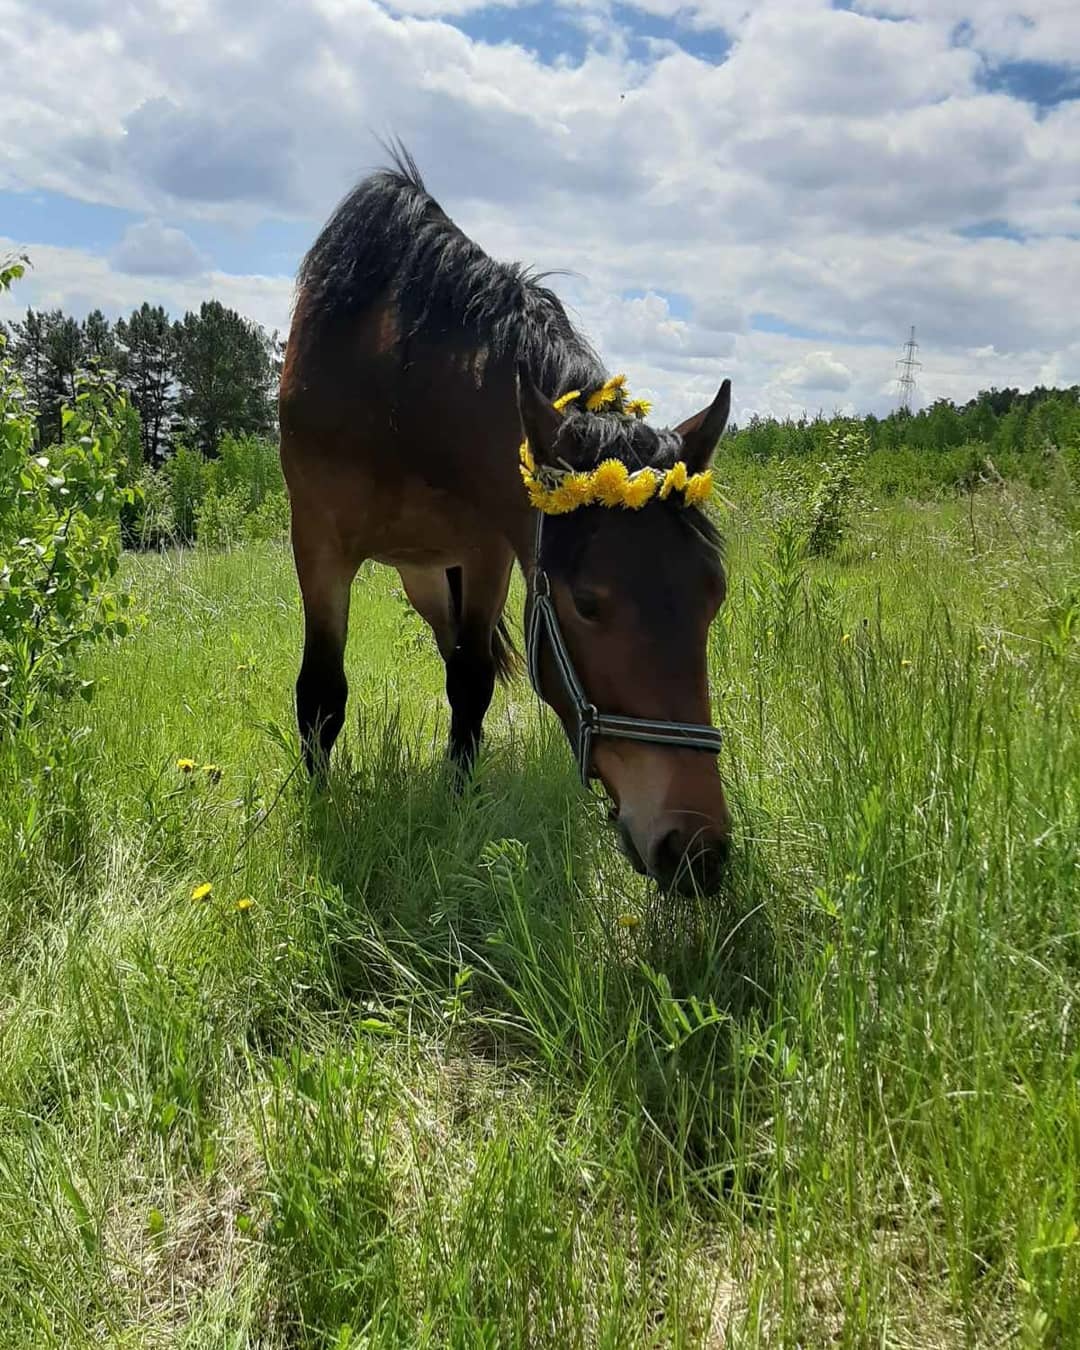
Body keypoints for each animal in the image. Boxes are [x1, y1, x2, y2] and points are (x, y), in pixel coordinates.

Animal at [278, 147, 734, 891]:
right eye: (587, 603)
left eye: (713, 596)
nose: (696, 852)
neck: (396, 385)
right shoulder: (317, 542)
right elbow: (321, 694)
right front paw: (320, 807)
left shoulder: (487, 550)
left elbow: (470, 683)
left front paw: (460, 801)